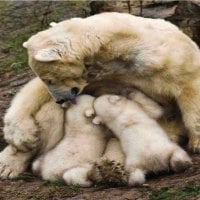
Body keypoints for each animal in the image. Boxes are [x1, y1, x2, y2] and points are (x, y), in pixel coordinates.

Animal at [4, 11, 200, 154]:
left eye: (49, 79)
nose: (60, 100)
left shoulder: (164, 59)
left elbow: (189, 89)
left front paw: (196, 143)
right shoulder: (103, 76)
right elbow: (34, 91)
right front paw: (23, 138)